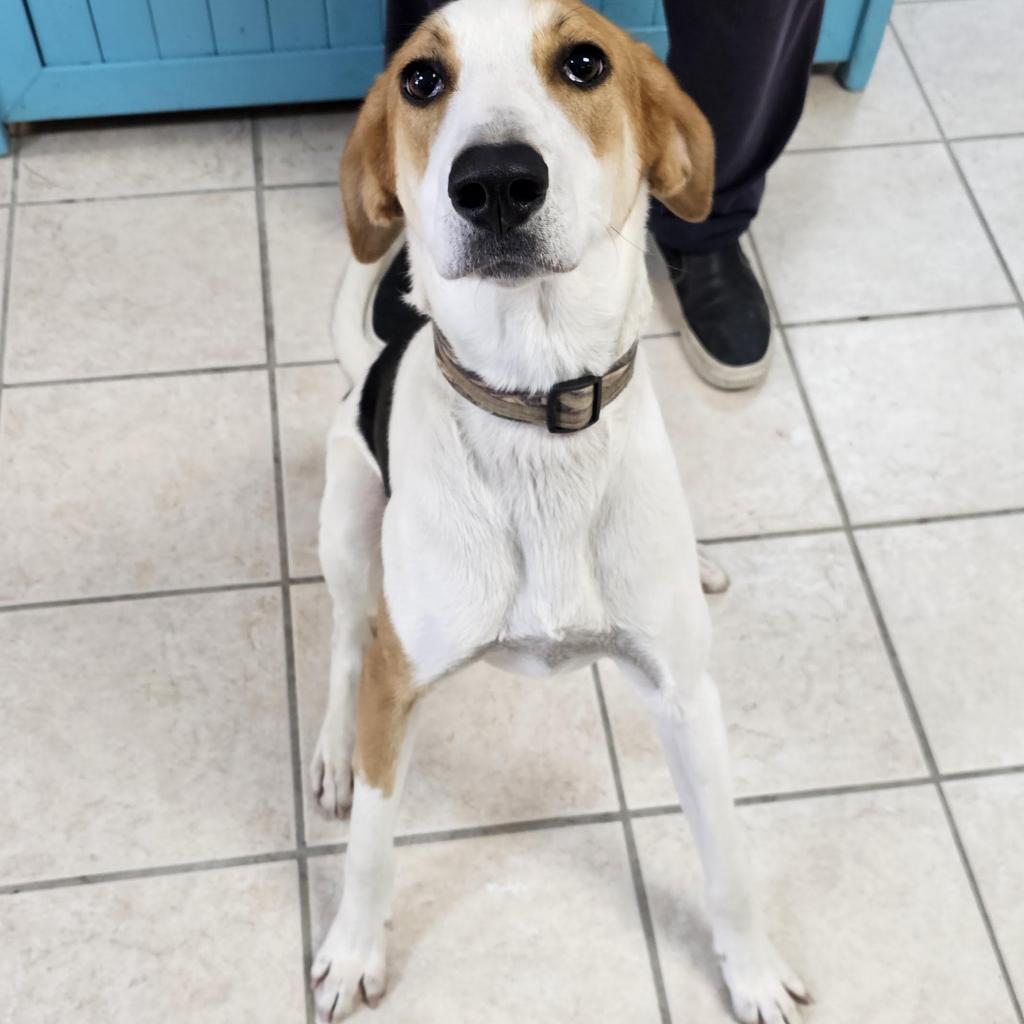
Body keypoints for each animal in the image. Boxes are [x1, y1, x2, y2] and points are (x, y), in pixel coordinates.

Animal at [311, 2, 806, 1024]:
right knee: (344, 638)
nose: (496, 181)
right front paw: (351, 951)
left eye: (585, 62)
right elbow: (372, 843)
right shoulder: (397, 685)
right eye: (420, 79)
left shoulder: (686, 695)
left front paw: (751, 970)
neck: (538, 404)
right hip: (346, 520)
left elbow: (730, 861)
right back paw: (334, 749)